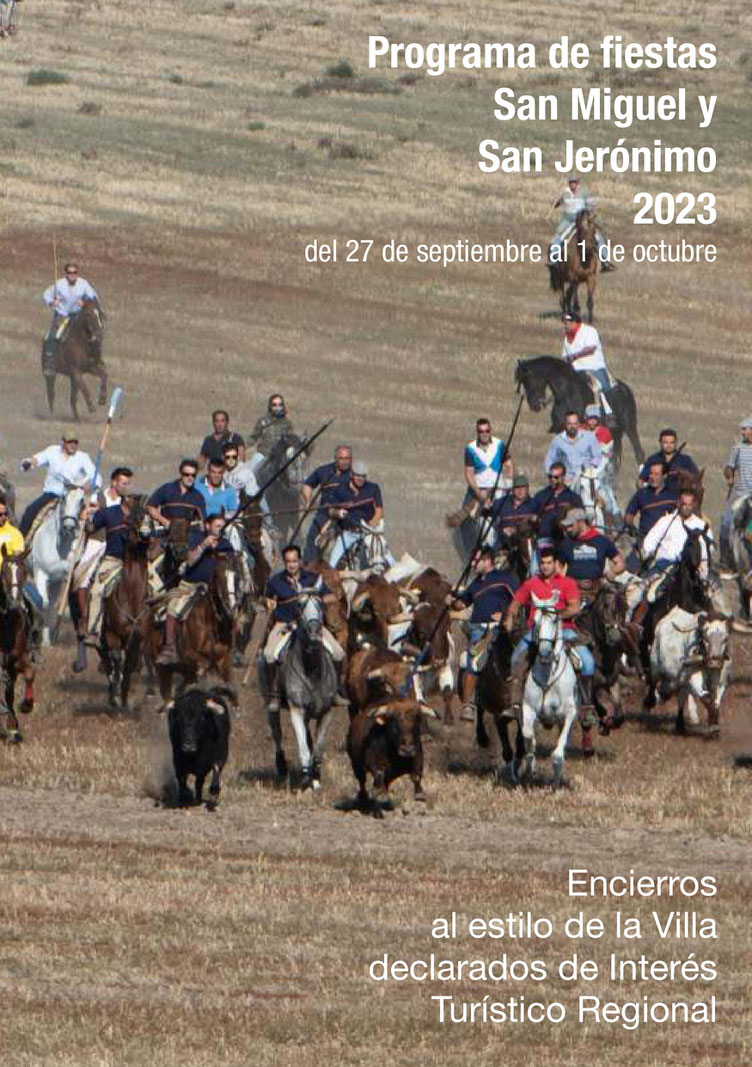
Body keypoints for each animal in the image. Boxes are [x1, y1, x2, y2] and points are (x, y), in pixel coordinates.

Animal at [27, 484, 86, 640]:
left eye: (82, 501)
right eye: (64, 497)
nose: (69, 526)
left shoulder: (59, 580)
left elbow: (51, 607)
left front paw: (46, 639)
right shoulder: (40, 573)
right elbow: (43, 603)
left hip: (54, 583)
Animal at [522, 597, 580, 789]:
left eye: (554, 620)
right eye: (535, 621)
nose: (545, 651)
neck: (549, 676)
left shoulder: (569, 713)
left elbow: (558, 754)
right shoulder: (528, 708)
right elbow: (528, 736)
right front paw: (530, 767)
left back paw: (556, 784)